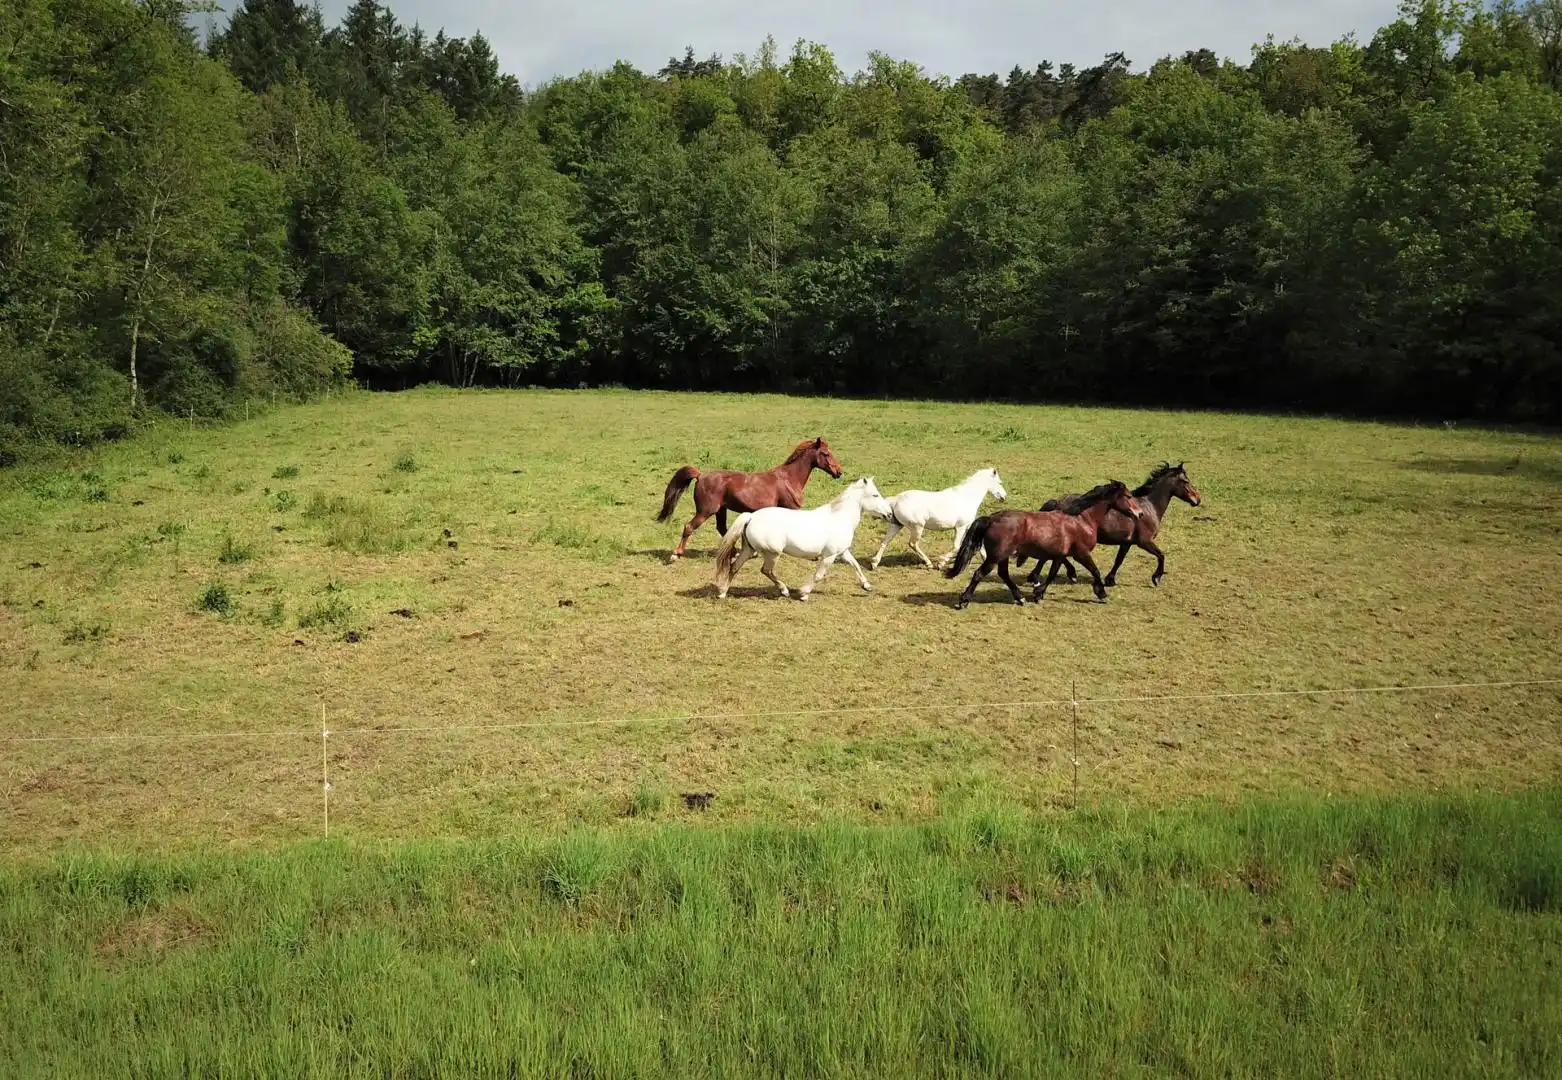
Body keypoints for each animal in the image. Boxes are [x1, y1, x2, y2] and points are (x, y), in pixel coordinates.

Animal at [657, 438, 843, 562]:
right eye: (826, 454)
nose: (839, 472)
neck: (789, 479)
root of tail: (700, 476)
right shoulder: (792, 508)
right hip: (706, 511)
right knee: (689, 527)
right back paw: (676, 554)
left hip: (721, 510)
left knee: (723, 529)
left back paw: (737, 553)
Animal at [714, 477, 892, 601]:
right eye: (875, 495)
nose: (890, 514)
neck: (839, 518)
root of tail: (751, 517)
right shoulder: (829, 556)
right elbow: (819, 575)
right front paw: (803, 594)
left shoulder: (842, 552)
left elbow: (855, 565)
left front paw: (867, 586)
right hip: (772, 553)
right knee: (766, 570)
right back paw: (784, 591)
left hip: (748, 550)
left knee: (734, 566)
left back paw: (722, 593)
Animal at [867, 467, 1008, 571]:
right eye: (999, 483)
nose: (1004, 497)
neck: (967, 497)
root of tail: (896, 499)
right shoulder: (960, 527)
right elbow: (956, 547)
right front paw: (941, 563)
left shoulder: (968, 526)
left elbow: (980, 547)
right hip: (917, 527)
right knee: (913, 544)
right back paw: (929, 563)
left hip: (897, 525)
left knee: (885, 541)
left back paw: (874, 563)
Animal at [944, 482, 1142, 608]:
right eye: (1128, 496)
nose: (1139, 514)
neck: (1082, 519)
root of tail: (993, 518)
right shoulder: (1081, 553)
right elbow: (1095, 571)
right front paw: (1102, 594)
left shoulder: (1060, 555)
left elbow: (1052, 574)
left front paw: (1038, 593)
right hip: (996, 556)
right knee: (979, 574)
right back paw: (963, 601)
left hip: (1003, 556)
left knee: (1004, 574)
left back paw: (1020, 599)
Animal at [1020, 462, 1200, 589]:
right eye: (1186, 481)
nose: (1197, 499)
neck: (1149, 507)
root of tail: (1057, 502)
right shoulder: (1144, 542)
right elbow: (1161, 555)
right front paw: (1156, 578)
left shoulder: (1127, 542)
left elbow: (1119, 560)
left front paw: (1110, 580)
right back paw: (1068, 574)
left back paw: (1035, 577)